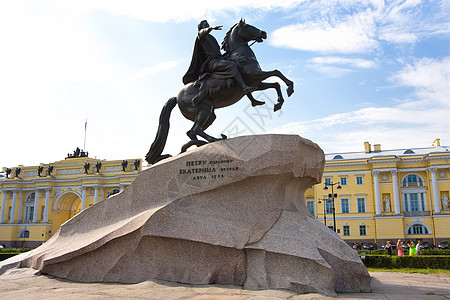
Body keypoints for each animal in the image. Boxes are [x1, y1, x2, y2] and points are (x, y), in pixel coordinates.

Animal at [145, 19, 296, 164]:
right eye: (247, 26)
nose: (263, 33)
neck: (240, 55)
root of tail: (177, 97)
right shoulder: (256, 76)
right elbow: (276, 73)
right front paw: (289, 88)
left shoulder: (257, 83)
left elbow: (275, 84)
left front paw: (278, 103)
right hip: (205, 108)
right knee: (195, 129)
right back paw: (213, 140)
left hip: (209, 114)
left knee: (191, 131)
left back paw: (202, 143)